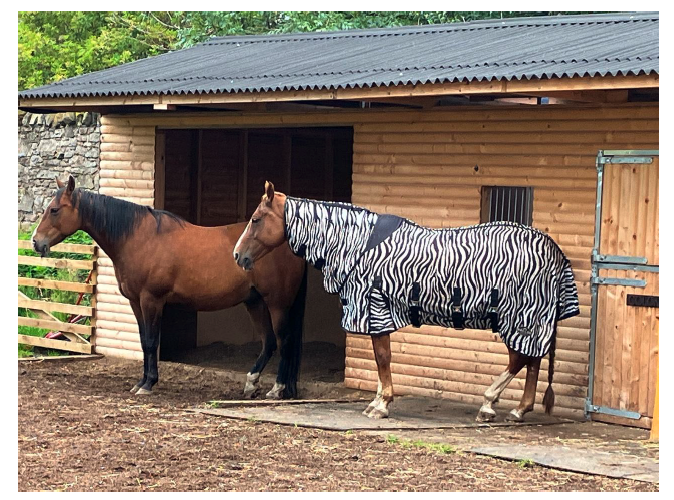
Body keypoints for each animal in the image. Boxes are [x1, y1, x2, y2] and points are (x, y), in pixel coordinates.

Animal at [32, 175, 307, 399]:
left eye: (54, 209)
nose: (36, 241)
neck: (139, 238)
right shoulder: (136, 302)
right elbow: (144, 341)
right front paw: (142, 381)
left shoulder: (151, 300)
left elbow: (151, 341)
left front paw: (148, 384)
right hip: (255, 301)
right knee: (269, 343)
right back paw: (252, 384)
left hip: (277, 303)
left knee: (284, 340)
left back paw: (278, 389)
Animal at [233, 181, 580, 421]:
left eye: (256, 219)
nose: (237, 256)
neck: (359, 245)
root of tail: (554, 250)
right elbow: (380, 360)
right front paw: (378, 400)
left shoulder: (375, 309)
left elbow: (383, 358)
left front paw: (382, 404)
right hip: (530, 318)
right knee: (531, 361)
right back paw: (519, 410)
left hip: (518, 316)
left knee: (520, 360)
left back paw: (488, 403)